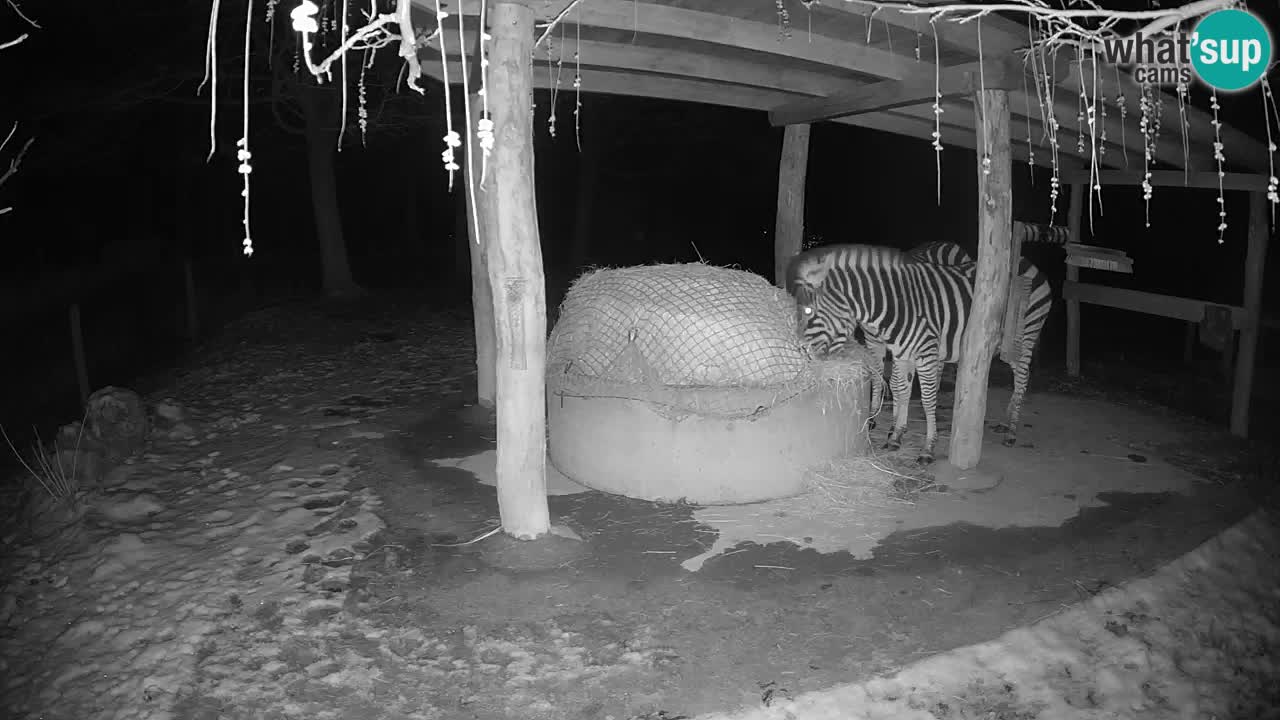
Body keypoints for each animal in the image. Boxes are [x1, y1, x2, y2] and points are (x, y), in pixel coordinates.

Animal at [788, 243, 1049, 461]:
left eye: (808, 311)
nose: (799, 351)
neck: (895, 305)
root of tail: (1028, 263)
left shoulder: (925, 354)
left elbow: (927, 398)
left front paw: (928, 448)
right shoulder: (902, 352)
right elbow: (901, 390)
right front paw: (896, 436)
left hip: (1025, 335)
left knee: (1022, 377)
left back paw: (1012, 430)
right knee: (1020, 376)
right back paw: (1006, 422)